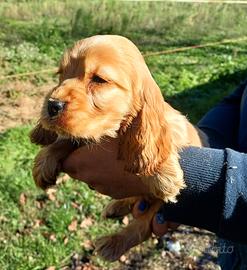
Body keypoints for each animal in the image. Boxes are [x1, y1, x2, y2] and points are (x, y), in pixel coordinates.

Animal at [31, 35, 208, 262]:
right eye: (61, 74)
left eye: (99, 79)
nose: (52, 105)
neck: (114, 133)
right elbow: (67, 141)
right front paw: (43, 163)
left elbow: (164, 141)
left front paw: (162, 174)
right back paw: (117, 207)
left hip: (161, 208)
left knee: (142, 226)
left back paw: (113, 243)